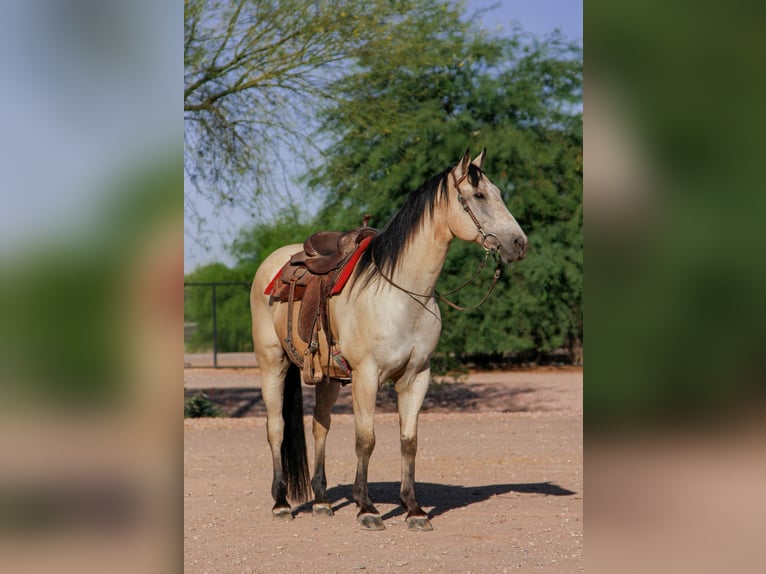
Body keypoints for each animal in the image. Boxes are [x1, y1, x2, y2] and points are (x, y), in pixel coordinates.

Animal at [250, 149, 528, 531]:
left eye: (497, 192)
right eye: (480, 195)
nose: (519, 243)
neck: (403, 294)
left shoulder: (416, 377)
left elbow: (408, 441)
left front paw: (414, 510)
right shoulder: (367, 377)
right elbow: (366, 440)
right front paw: (367, 508)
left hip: (327, 378)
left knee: (320, 426)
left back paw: (321, 500)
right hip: (272, 364)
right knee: (275, 428)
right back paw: (280, 503)